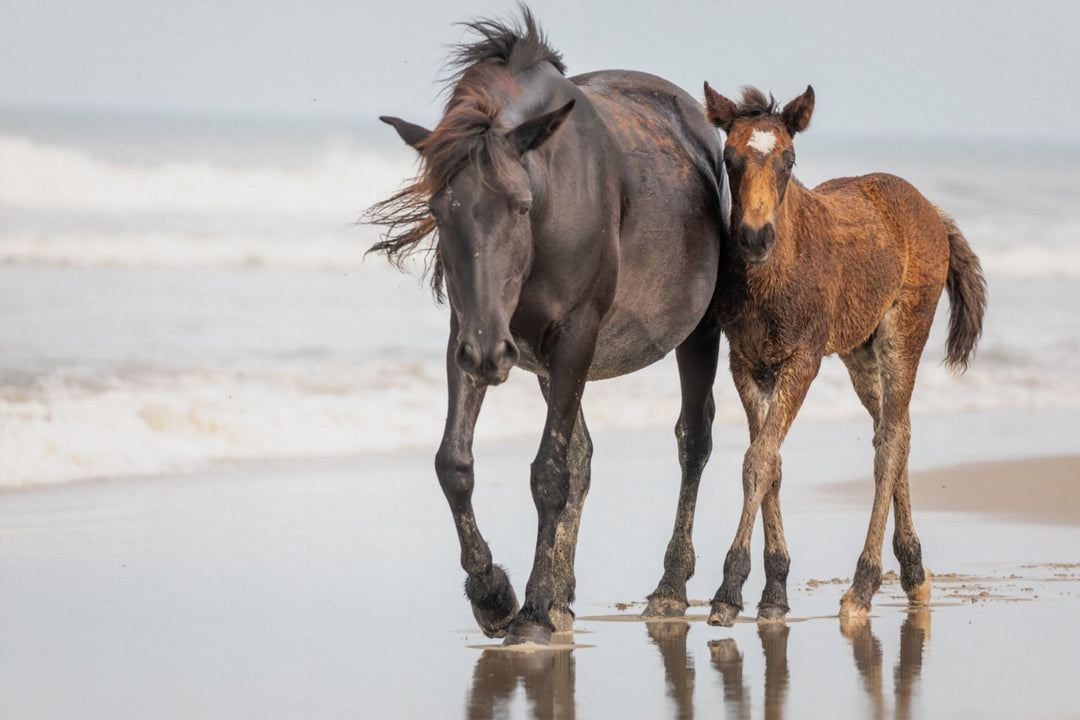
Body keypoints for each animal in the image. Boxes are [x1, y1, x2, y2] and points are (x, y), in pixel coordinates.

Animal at [365, 9, 729, 645]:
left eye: (521, 205)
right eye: (438, 210)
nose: (490, 356)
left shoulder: (575, 336)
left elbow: (550, 474)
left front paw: (530, 611)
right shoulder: (469, 333)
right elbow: (455, 464)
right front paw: (494, 596)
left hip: (697, 332)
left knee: (694, 439)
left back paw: (667, 588)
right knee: (586, 453)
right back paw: (563, 596)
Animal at [700, 83, 986, 625]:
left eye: (790, 160)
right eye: (729, 158)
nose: (754, 236)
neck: (772, 275)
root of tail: (932, 211)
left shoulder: (803, 361)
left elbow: (758, 461)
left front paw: (728, 592)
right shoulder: (746, 363)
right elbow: (770, 463)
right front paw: (774, 592)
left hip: (904, 331)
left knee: (891, 441)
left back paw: (862, 586)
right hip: (859, 351)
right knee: (895, 432)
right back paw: (913, 572)